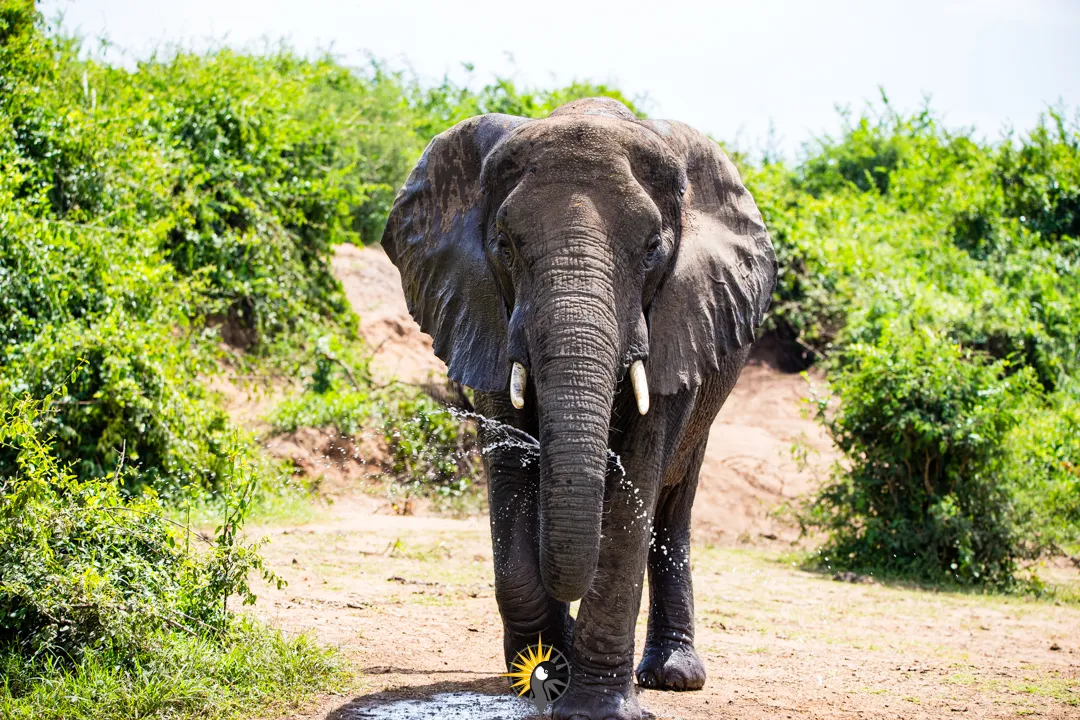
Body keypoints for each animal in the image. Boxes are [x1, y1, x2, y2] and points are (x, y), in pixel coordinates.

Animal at [380, 97, 777, 720]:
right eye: (504, 244)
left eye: (653, 248)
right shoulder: (488, 312)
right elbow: (512, 475)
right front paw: (543, 675)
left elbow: (633, 489)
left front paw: (594, 708)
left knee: (674, 504)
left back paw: (673, 676)